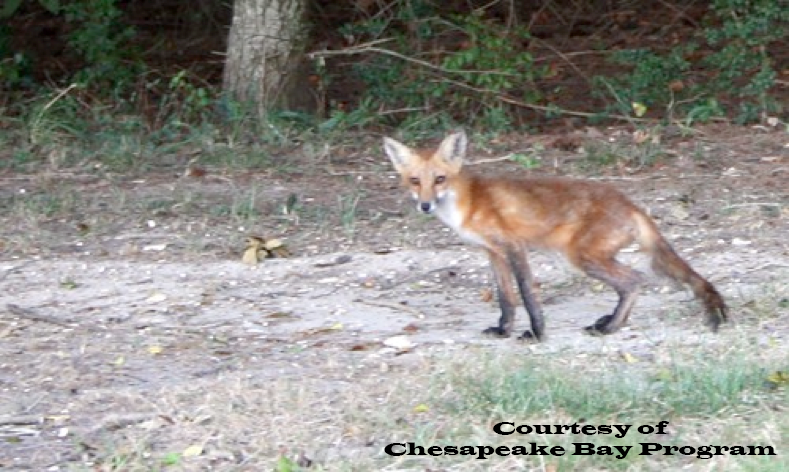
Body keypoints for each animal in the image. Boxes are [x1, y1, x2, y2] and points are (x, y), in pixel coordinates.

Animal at [383, 129, 728, 341]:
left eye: (440, 179)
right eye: (415, 181)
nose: (425, 205)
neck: (466, 205)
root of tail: (631, 204)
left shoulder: (514, 247)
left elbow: (526, 295)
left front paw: (536, 333)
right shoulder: (493, 253)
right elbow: (506, 298)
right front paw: (503, 330)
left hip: (582, 257)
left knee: (634, 281)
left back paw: (612, 327)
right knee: (629, 284)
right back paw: (610, 321)